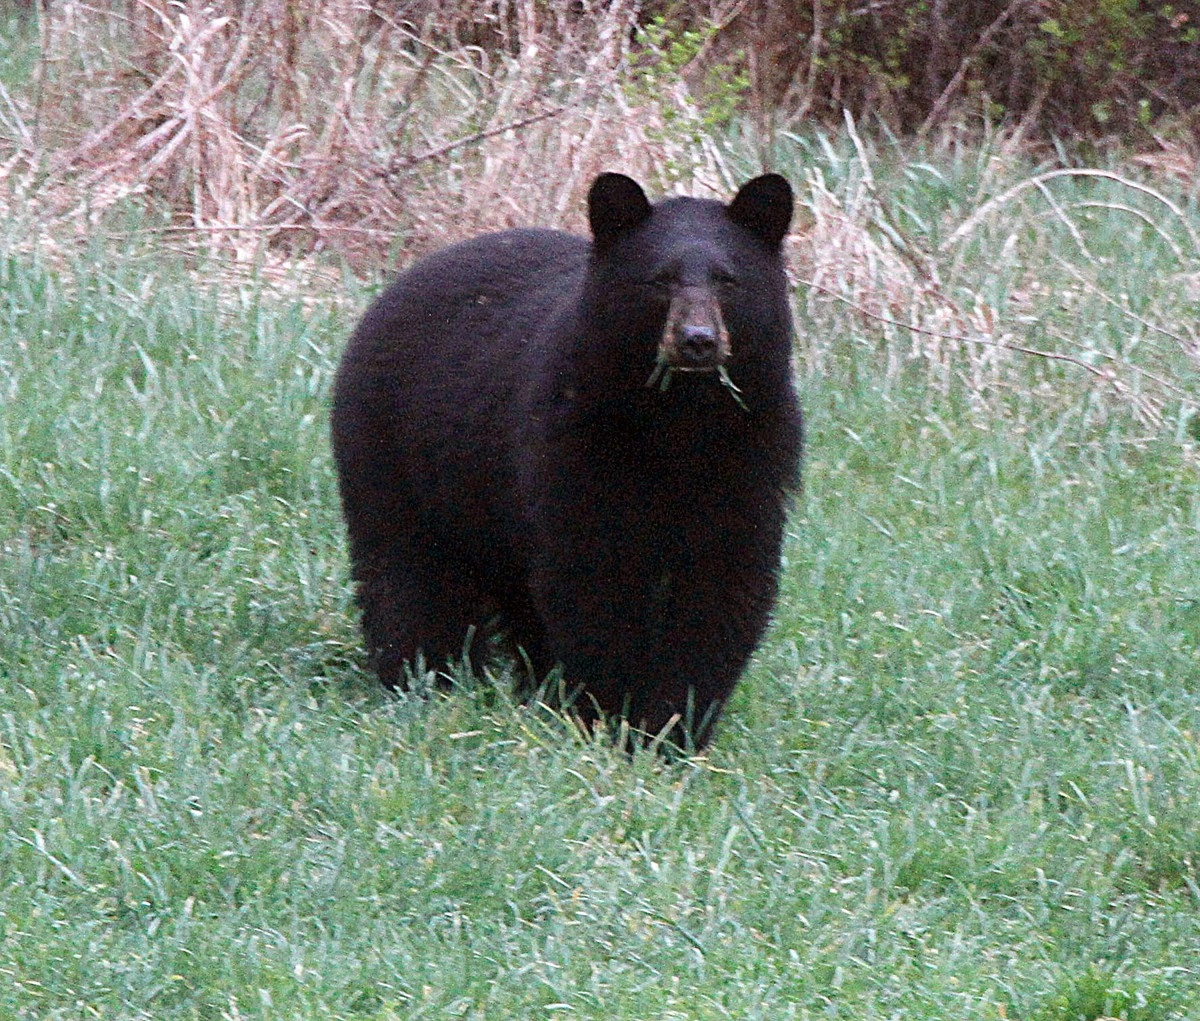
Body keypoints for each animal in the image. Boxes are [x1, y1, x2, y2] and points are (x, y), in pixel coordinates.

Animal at [330, 172, 803, 751]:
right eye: (660, 280)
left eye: (728, 281)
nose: (697, 341)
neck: (678, 423)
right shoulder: (574, 447)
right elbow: (590, 581)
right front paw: (606, 715)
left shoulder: (752, 457)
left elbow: (722, 589)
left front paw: (673, 729)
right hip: (395, 451)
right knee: (407, 572)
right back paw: (424, 677)